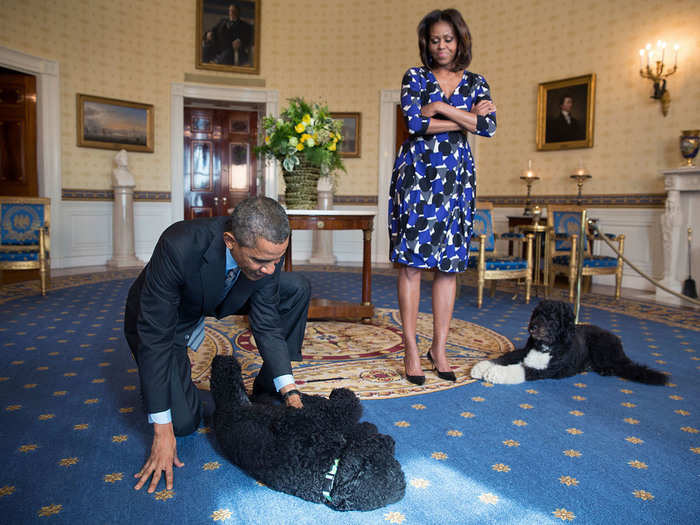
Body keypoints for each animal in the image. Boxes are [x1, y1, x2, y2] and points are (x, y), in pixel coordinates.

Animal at [209, 354, 404, 510]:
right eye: (387, 453)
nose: (389, 440)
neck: (330, 475)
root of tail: (222, 413)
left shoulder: (309, 419)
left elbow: (339, 408)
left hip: (233, 395)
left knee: (225, 375)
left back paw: (226, 360)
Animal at [470, 298, 668, 384]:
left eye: (551, 319)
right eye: (537, 313)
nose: (532, 327)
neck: (546, 346)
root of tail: (618, 341)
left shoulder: (546, 369)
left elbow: (520, 369)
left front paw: (495, 373)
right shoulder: (524, 352)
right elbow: (506, 357)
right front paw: (482, 367)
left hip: (601, 348)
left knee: (620, 366)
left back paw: (607, 370)